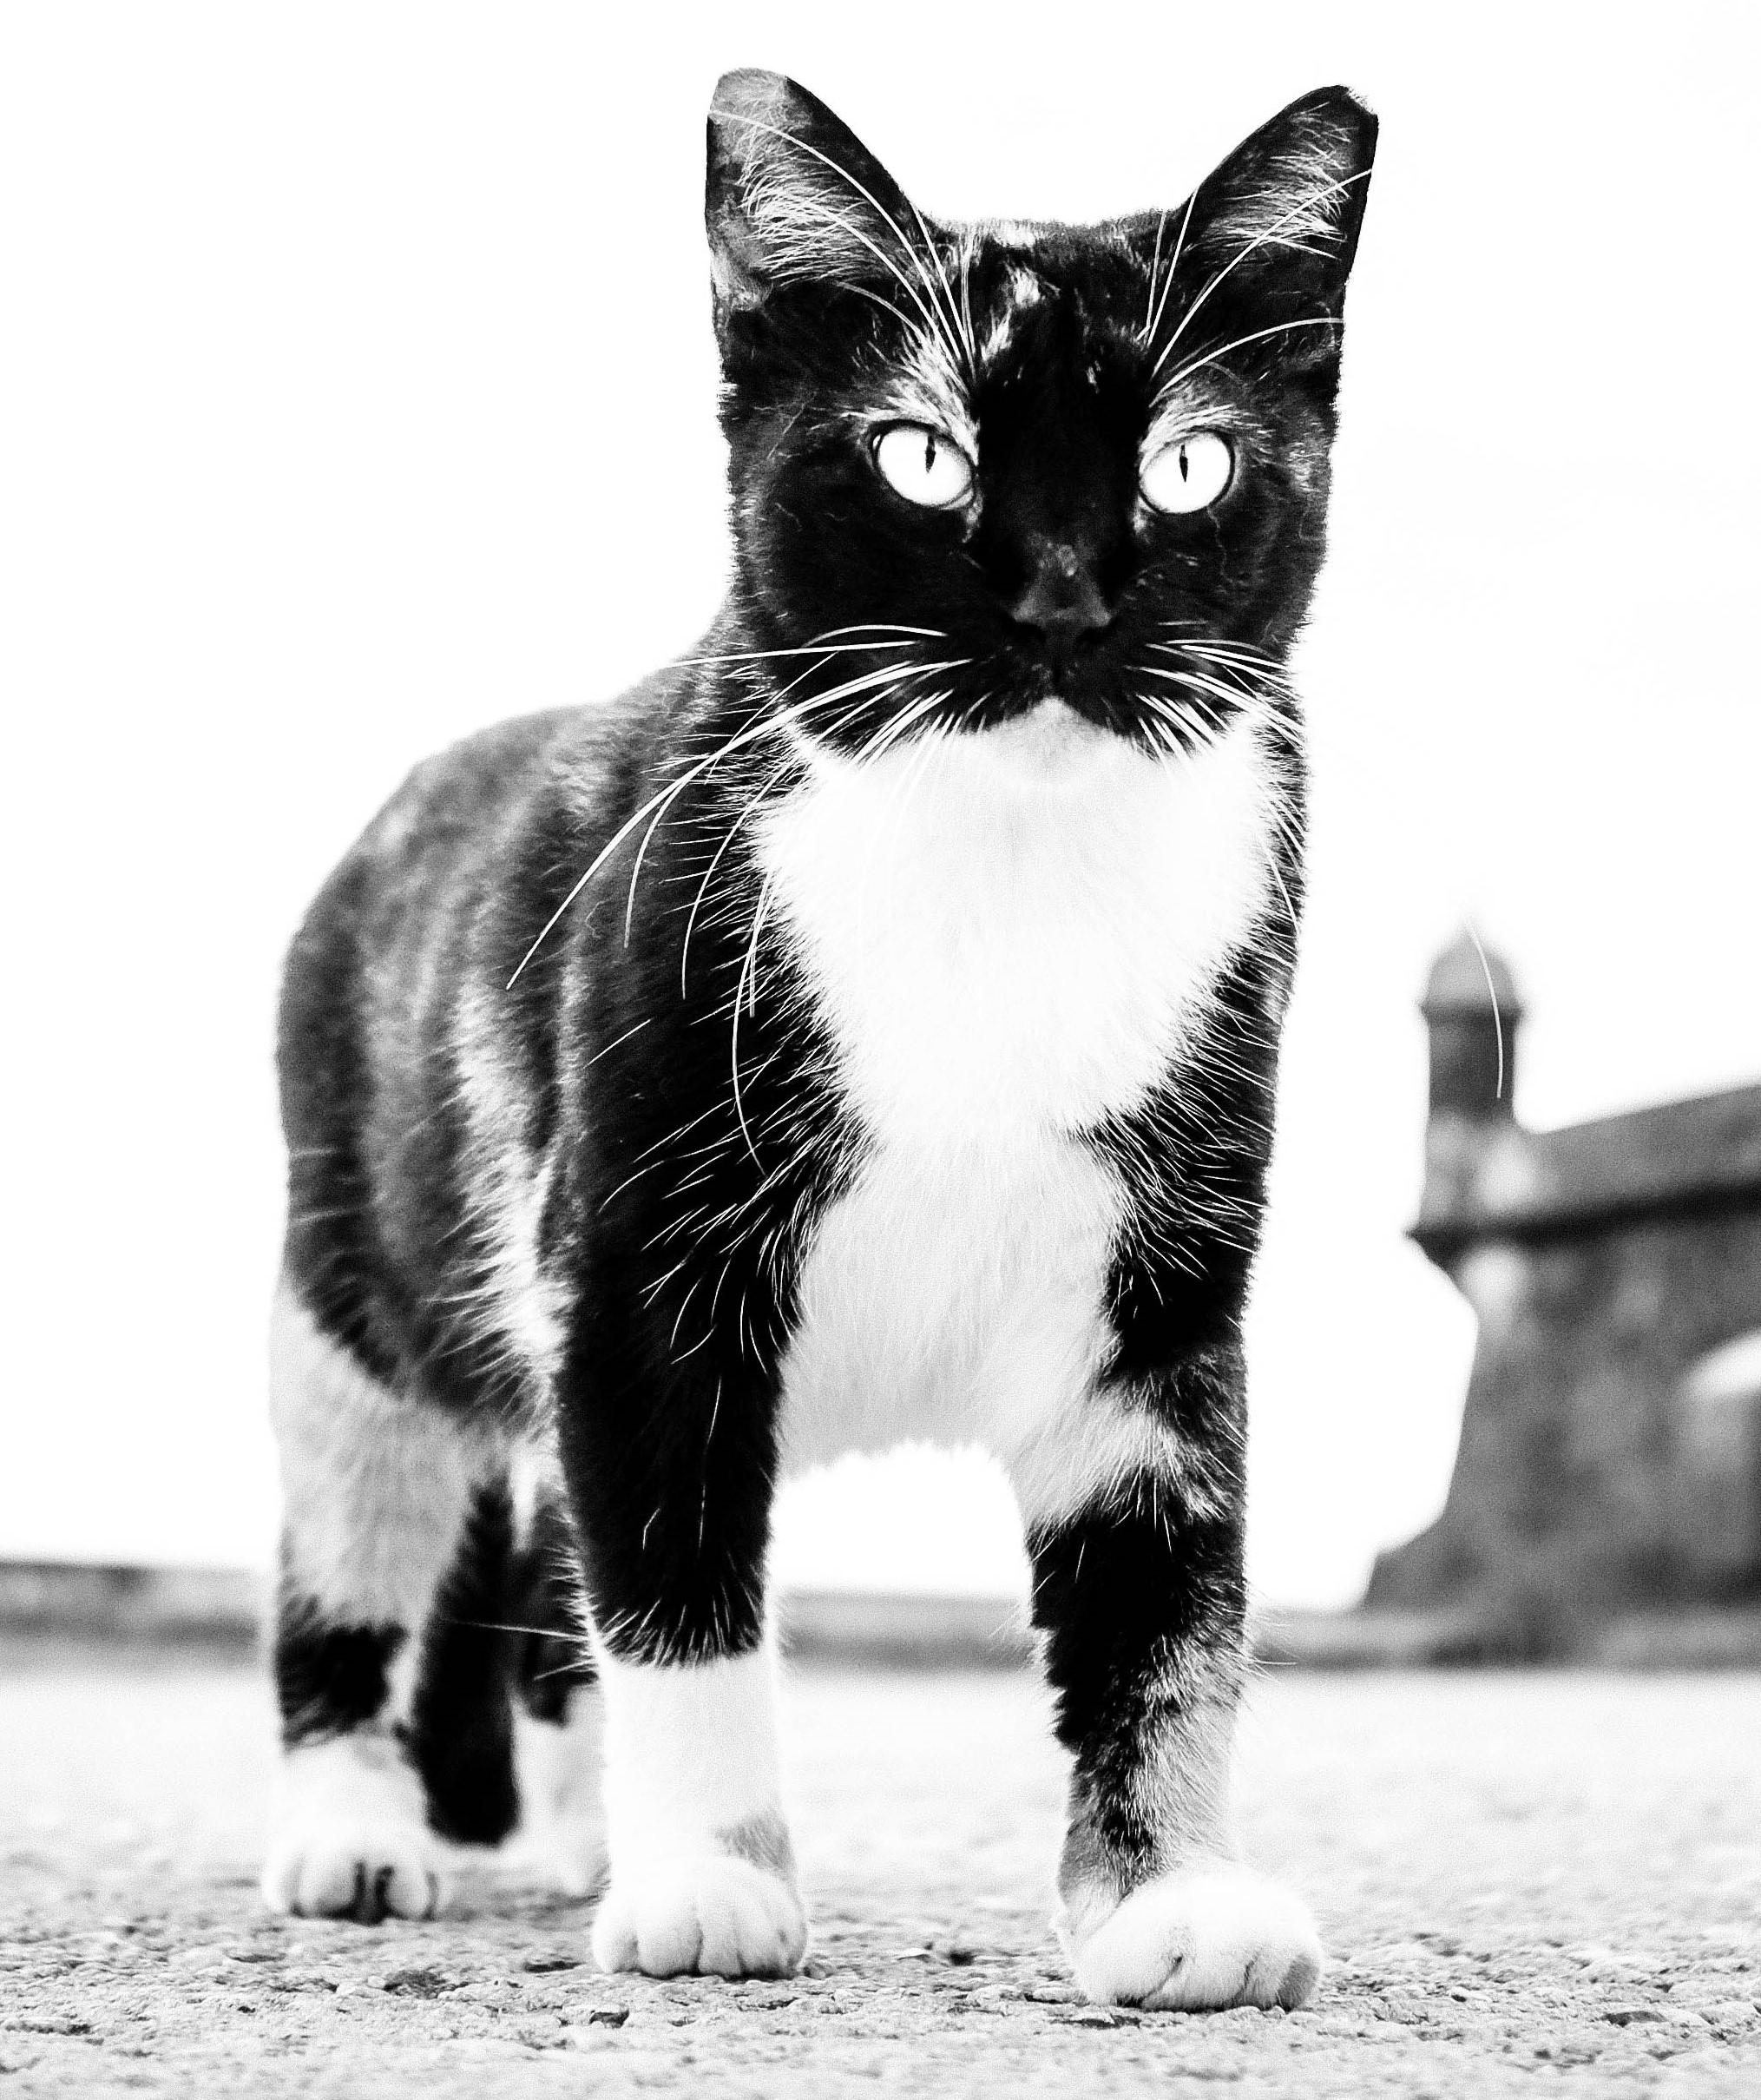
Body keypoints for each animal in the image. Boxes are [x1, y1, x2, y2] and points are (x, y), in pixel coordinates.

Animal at [265, 57, 1377, 2007]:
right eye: (920, 452)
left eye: (1190, 460)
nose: (1065, 601)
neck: (1002, 882)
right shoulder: (640, 1260)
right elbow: (680, 1587)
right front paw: (713, 1878)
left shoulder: (1159, 1295)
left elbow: (1168, 1613)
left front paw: (1167, 1894)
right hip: (356, 1275)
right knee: (362, 1544)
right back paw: (353, 1829)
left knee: (551, 1575)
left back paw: (581, 1833)